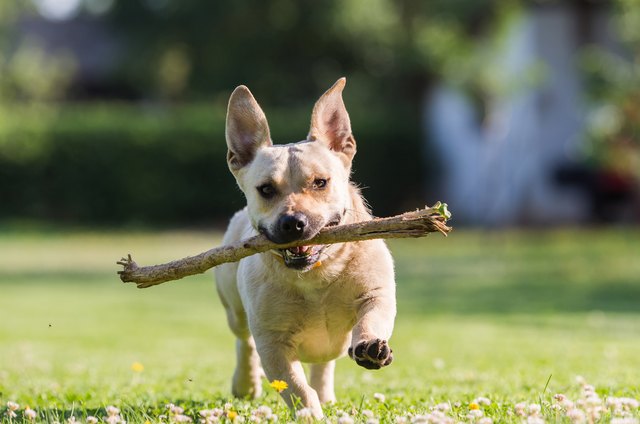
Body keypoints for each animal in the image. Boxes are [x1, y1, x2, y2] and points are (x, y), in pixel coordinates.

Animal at [214, 77, 396, 418]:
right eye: (266, 189)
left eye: (320, 182)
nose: (293, 222)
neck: (317, 273)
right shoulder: (272, 342)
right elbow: (294, 385)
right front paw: (309, 413)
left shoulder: (375, 292)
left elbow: (372, 315)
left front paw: (369, 346)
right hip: (234, 310)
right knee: (244, 342)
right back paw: (246, 383)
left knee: (323, 365)